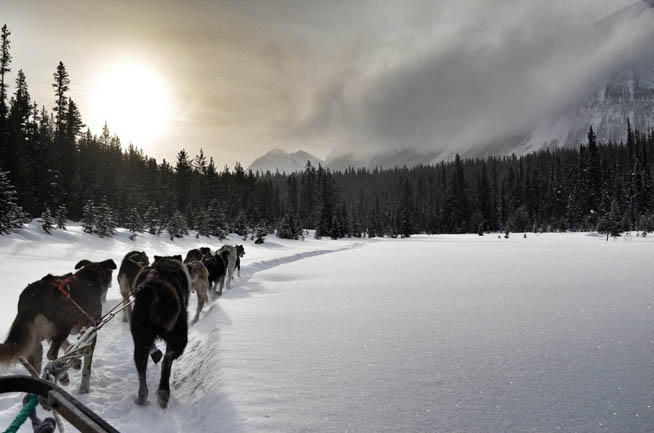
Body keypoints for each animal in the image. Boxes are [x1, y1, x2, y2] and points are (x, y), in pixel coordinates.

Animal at [129, 255, 188, 406]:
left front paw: (155, 353)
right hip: (179, 338)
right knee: (167, 361)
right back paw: (163, 392)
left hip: (140, 339)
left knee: (141, 369)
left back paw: (142, 397)